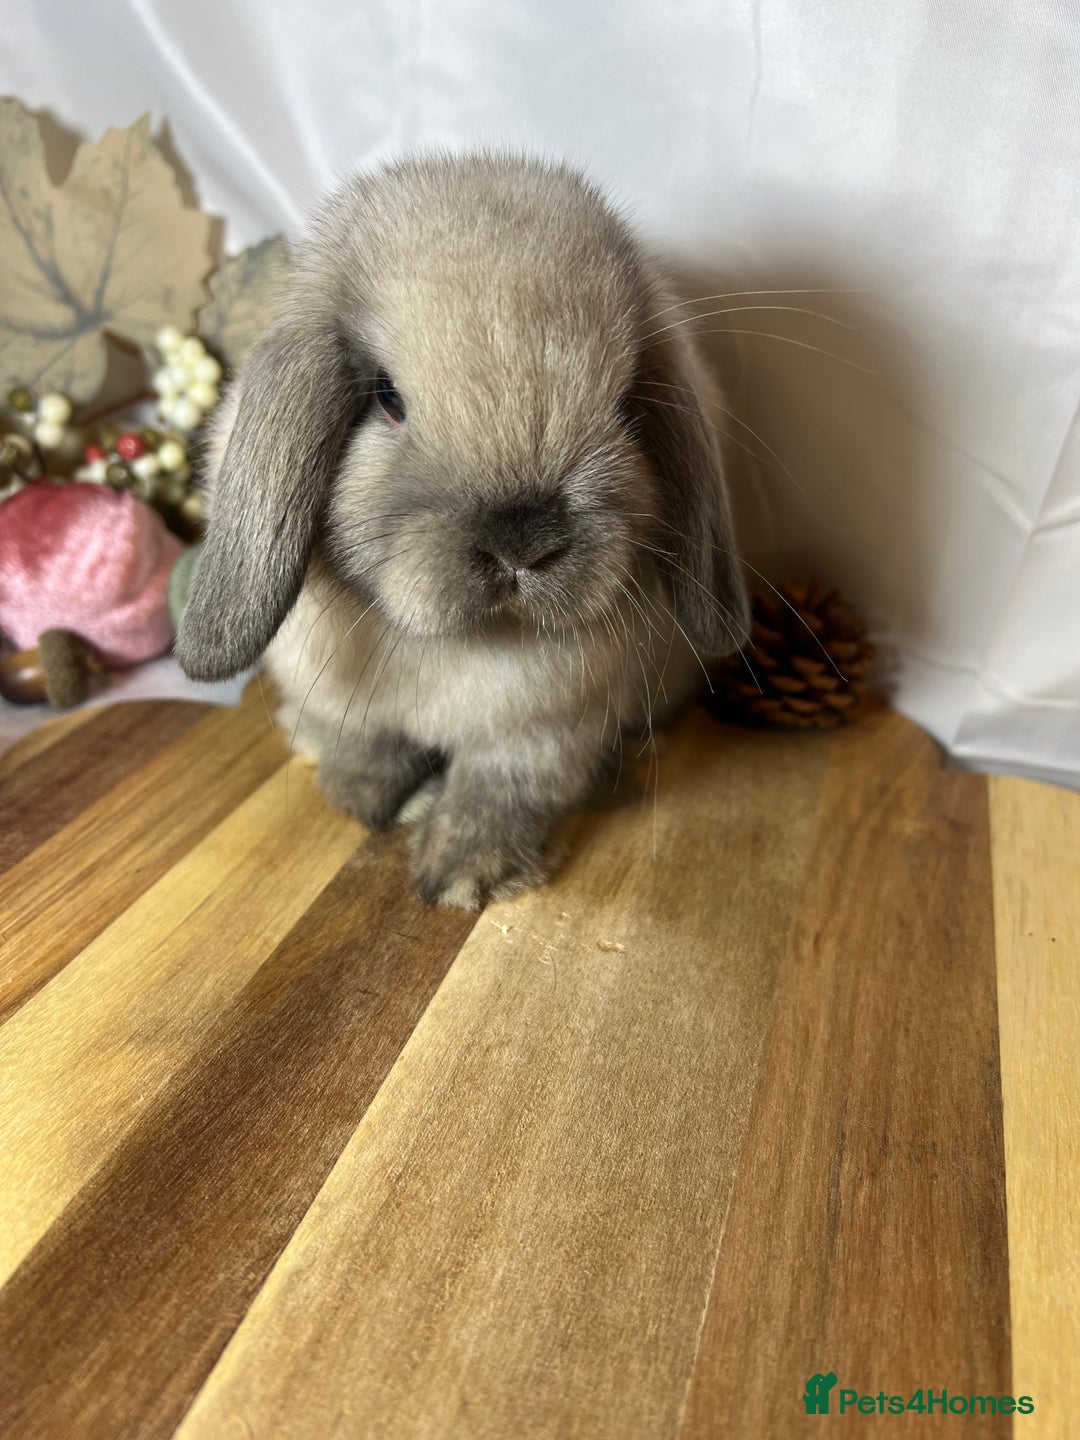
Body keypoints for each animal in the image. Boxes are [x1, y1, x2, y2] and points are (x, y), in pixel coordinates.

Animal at [176, 152, 750, 909]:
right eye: (387, 398)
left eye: (625, 408)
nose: (522, 543)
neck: (455, 645)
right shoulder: (342, 698)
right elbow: (366, 747)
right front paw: (367, 800)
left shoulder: (543, 731)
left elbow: (501, 791)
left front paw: (463, 876)